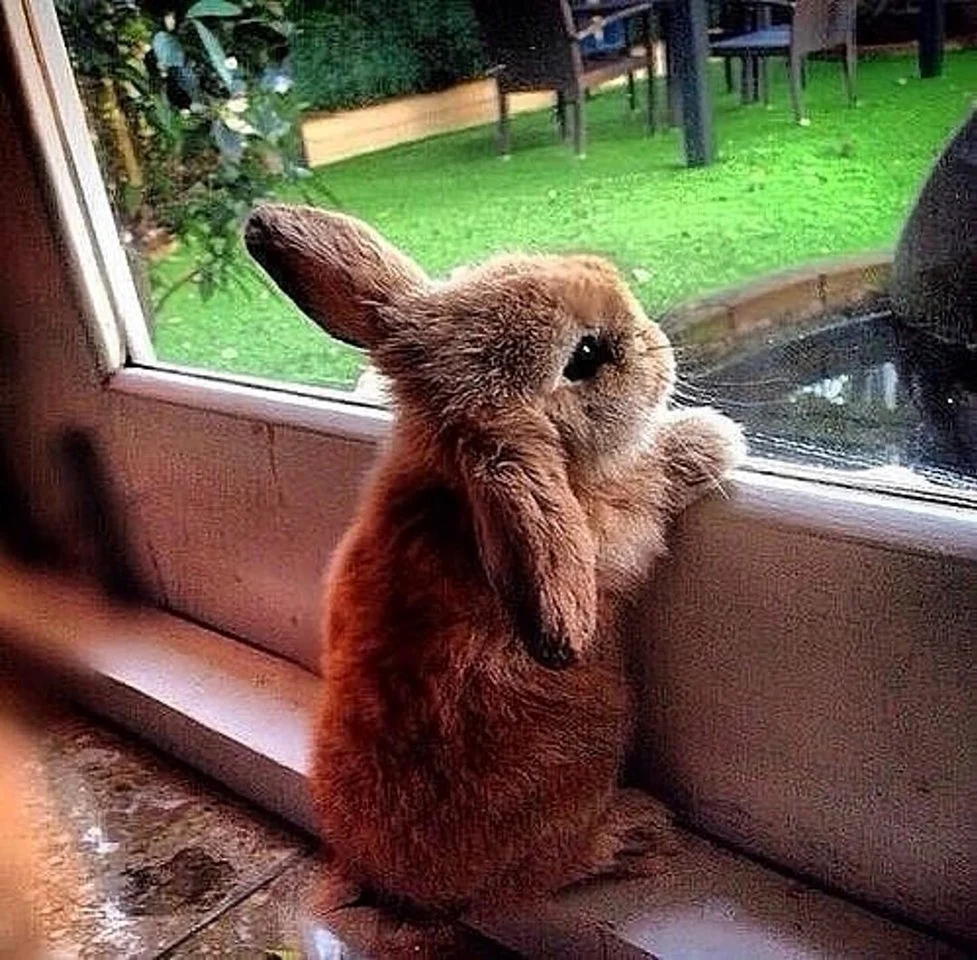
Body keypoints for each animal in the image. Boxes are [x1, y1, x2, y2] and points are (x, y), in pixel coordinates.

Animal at [244, 205, 745, 921]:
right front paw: (710, 439)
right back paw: (634, 832)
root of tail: (384, 882)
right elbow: (650, 478)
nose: (656, 340)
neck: (454, 490)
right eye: (584, 356)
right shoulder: (614, 521)